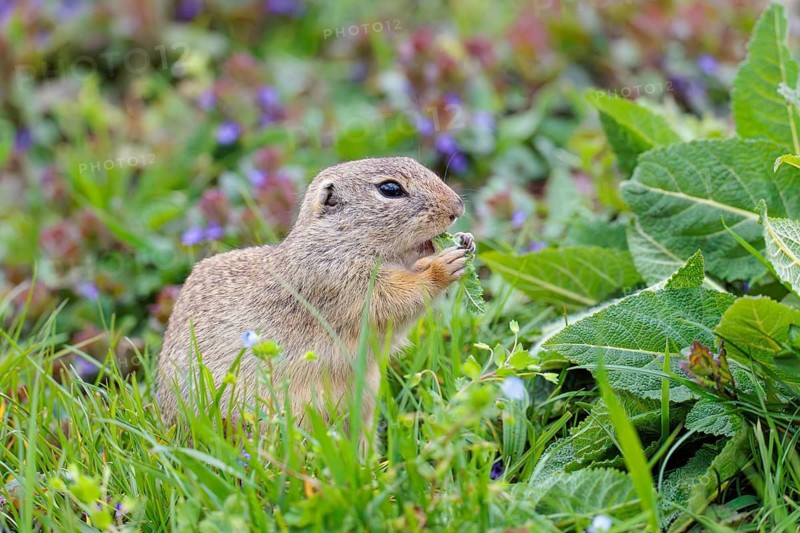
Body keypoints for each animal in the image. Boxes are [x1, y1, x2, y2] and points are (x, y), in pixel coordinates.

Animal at [156, 156, 474, 436]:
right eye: (390, 189)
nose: (457, 208)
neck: (338, 240)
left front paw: (466, 241)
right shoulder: (338, 281)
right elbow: (393, 299)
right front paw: (444, 266)